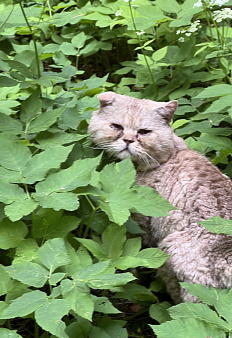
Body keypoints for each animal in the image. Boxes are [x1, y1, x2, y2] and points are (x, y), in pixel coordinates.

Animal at [88, 91, 232, 302]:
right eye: (117, 127)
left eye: (144, 132)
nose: (128, 141)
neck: (170, 155)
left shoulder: (139, 221)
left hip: (171, 258)